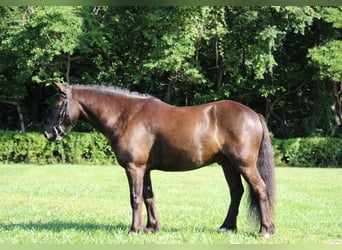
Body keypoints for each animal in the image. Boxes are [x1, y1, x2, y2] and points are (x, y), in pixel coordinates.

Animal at [44, 83, 276, 237]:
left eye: (56, 105)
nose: (48, 134)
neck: (127, 115)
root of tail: (254, 114)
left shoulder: (134, 168)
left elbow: (135, 198)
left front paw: (134, 230)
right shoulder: (144, 169)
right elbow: (149, 197)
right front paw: (151, 227)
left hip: (244, 164)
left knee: (260, 190)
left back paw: (265, 230)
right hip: (228, 165)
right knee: (237, 192)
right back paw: (227, 227)